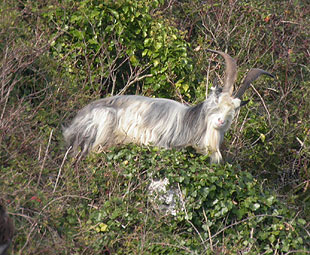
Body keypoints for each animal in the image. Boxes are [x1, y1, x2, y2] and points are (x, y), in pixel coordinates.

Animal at [63, 49, 274, 163]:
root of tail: (72, 126)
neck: (190, 122)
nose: (221, 121)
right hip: (105, 121)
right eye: (216, 101)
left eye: (234, 110)